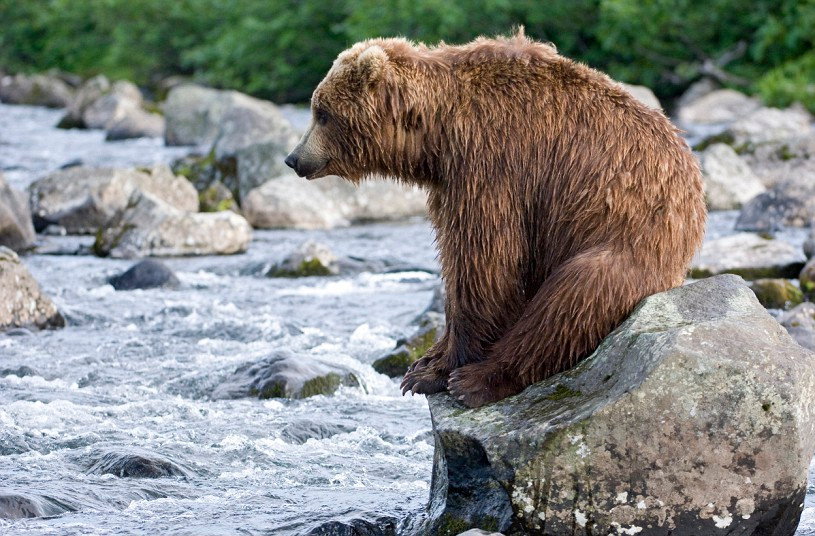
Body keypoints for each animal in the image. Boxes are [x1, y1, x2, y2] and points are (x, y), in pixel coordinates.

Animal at [284, 31, 706, 408]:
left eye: (321, 113)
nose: (293, 158)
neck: (435, 133)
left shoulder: (493, 162)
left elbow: (483, 259)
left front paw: (435, 372)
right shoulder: (450, 180)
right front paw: (423, 362)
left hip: (623, 242)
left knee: (569, 302)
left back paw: (478, 381)